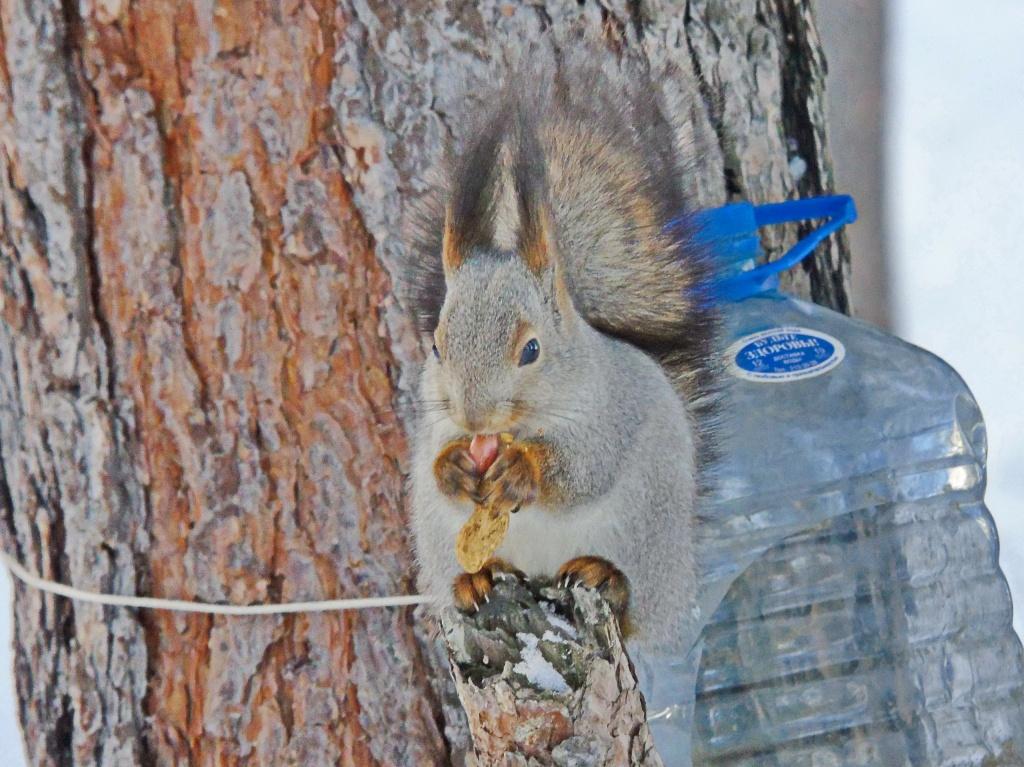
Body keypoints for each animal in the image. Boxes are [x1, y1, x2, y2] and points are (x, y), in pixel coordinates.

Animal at [401, 61, 720, 647]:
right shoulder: (435, 421)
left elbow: (583, 467)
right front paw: (453, 468)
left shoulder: (609, 412)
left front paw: (522, 471)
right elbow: (436, 459)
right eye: (435, 344)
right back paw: (475, 579)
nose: (474, 417)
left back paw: (605, 576)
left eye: (531, 349)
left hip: (648, 540)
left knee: (632, 602)